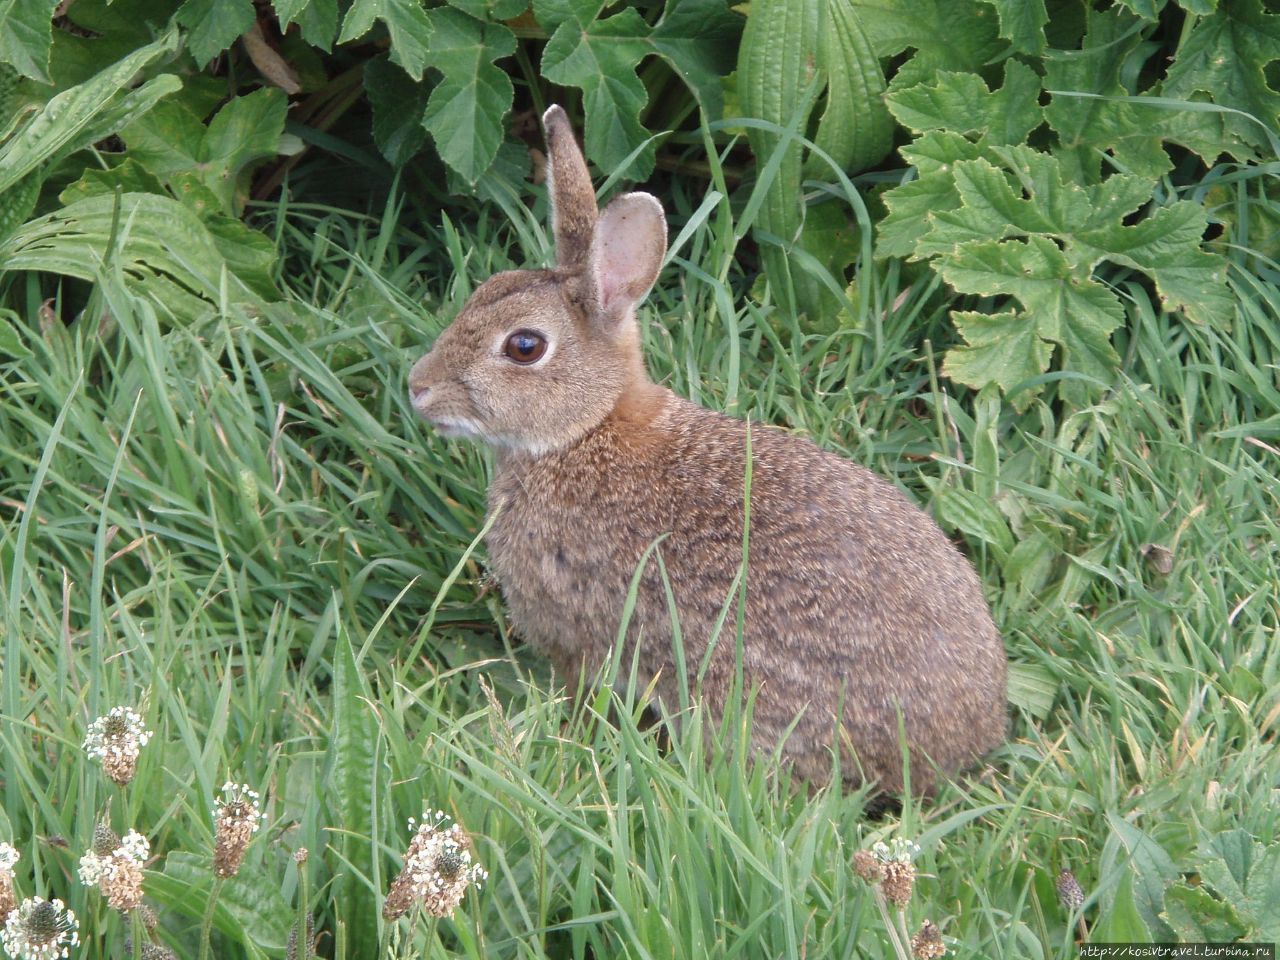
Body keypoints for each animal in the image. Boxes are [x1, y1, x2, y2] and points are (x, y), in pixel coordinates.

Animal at [409, 106, 1008, 798]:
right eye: (490, 287)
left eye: (524, 347)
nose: (418, 387)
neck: (586, 429)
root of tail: (962, 743)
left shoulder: (575, 634)